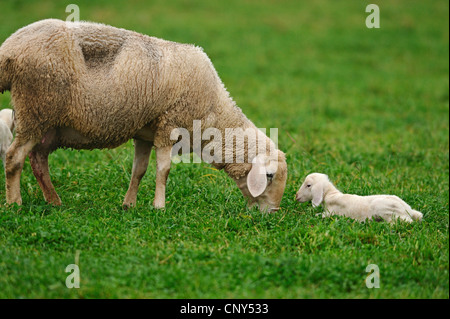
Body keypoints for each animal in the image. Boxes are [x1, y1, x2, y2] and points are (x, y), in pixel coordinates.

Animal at [0, 18, 288, 211]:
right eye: (269, 176)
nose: (272, 214)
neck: (213, 113)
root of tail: (10, 48)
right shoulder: (169, 124)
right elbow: (164, 169)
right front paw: (159, 206)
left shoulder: (145, 133)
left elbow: (138, 170)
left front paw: (129, 204)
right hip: (36, 107)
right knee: (14, 157)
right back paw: (15, 204)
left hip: (47, 123)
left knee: (38, 160)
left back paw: (54, 201)